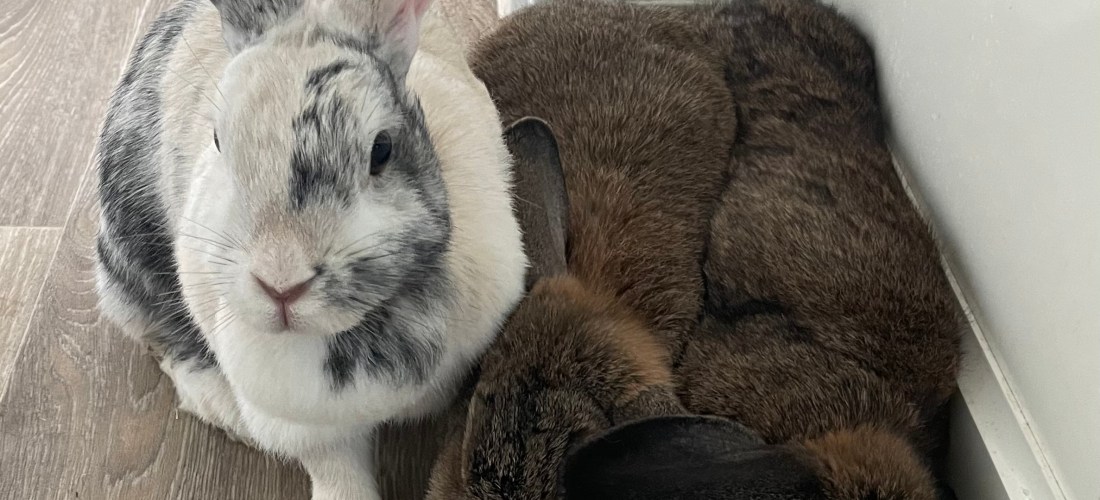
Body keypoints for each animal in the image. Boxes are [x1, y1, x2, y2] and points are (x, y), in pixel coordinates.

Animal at [93, 0, 526, 497]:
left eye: (382, 149)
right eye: (218, 141)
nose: (281, 284)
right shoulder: (309, 431)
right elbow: (337, 474)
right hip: (134, 257)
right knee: (158, 335)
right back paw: (222, 406)